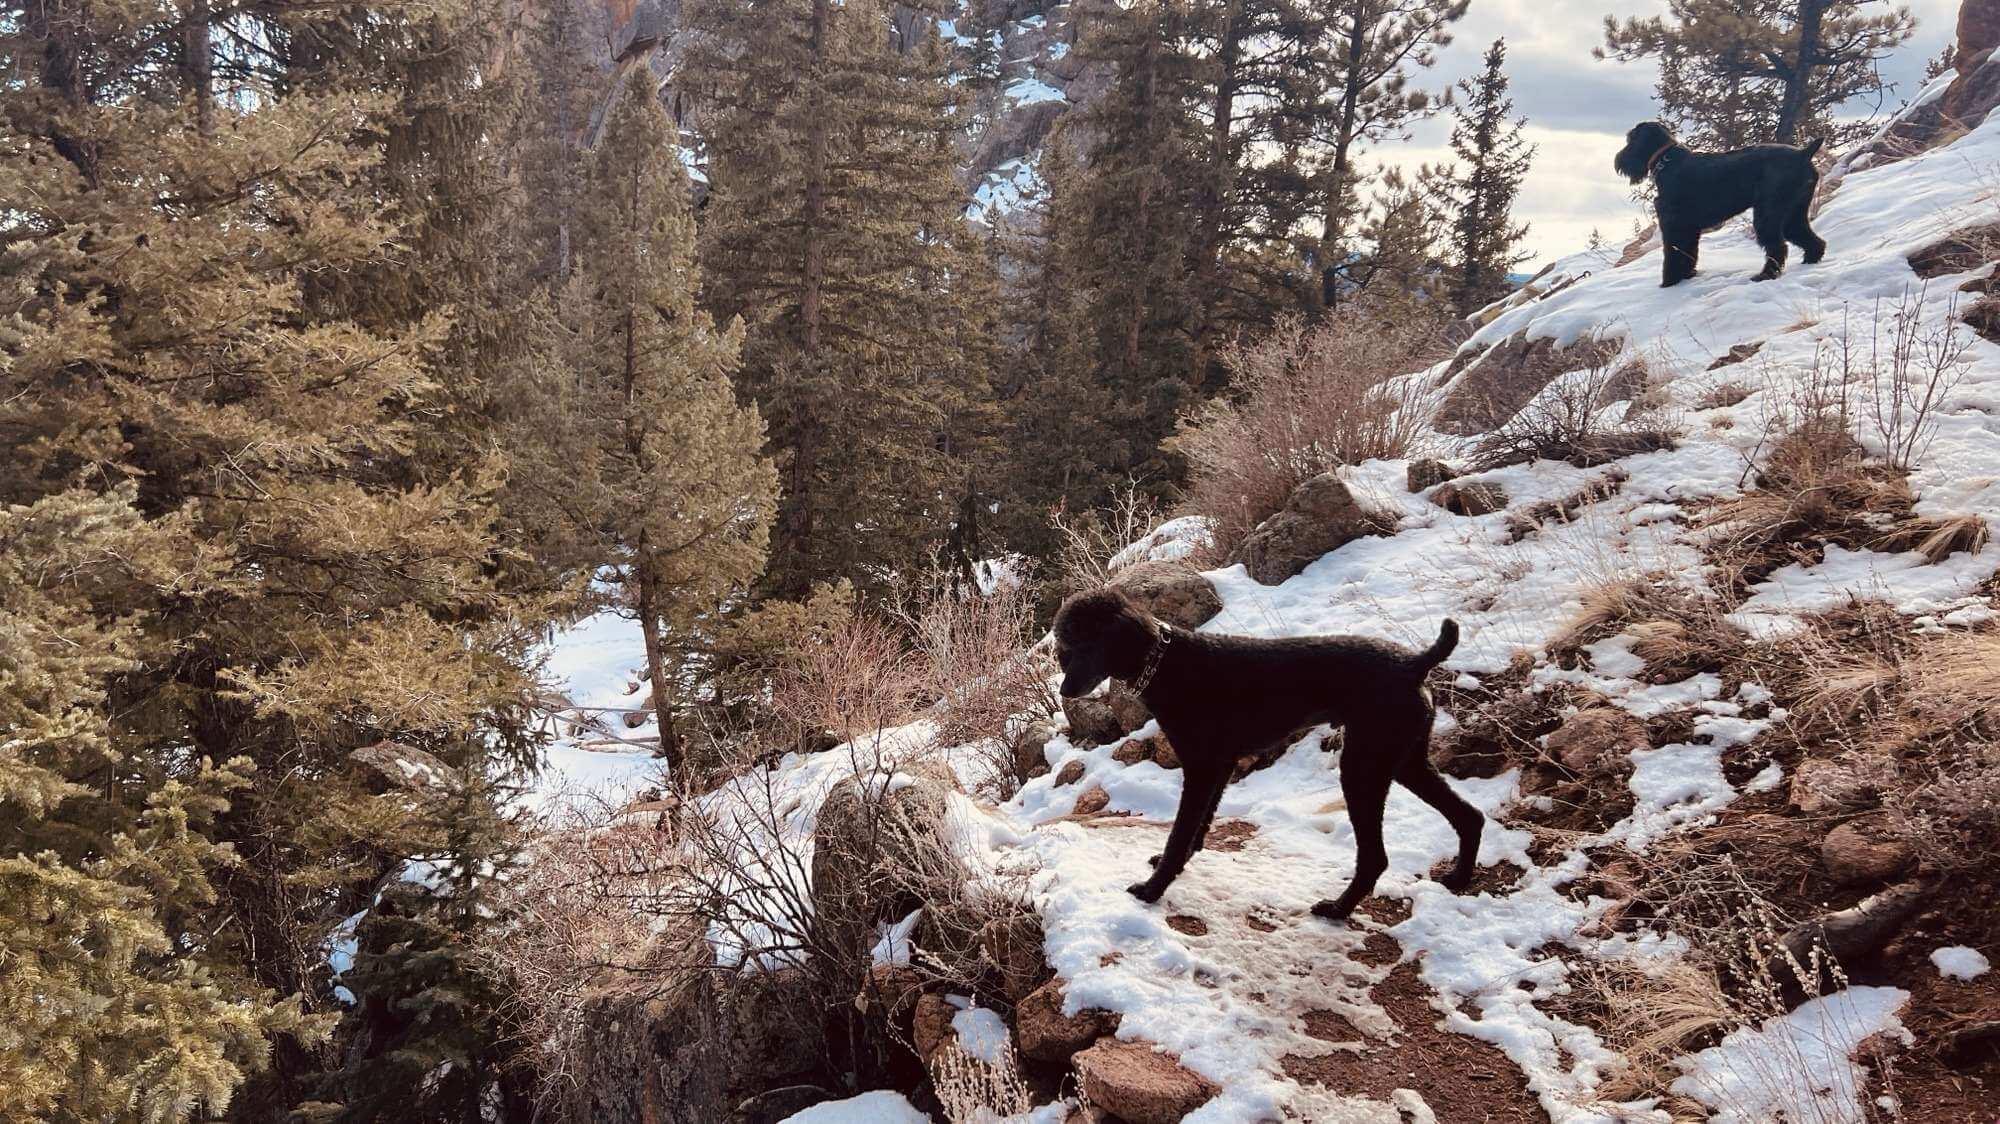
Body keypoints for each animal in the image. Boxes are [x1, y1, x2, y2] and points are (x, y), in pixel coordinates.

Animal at [1056, 588, 1480, 920]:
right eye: (1064, 650)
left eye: (1083, 646)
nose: (1064, 690)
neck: (1166, 664)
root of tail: (1415, 663)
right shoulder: (1220, 766)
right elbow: (1198, 828)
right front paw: (1171, 866)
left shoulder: (1201, 767)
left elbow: (1179, 834)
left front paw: (1153, 888)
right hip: (1403, 760)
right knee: (1470, 816)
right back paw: (1459, 878)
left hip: (1364, 766)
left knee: (1376, 857)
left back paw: (1337, 909)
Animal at [1616, 117, 1824, 284]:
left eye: (1631, 138)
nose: (1619, 160)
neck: (1667, 160)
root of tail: (1803, 153)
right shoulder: (1689, 229)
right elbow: (1688, 253)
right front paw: (1687, 276)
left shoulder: (1674, 226)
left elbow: (1673, 254)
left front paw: (1669, 282)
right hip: (1793, 213)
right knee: (1808, 238)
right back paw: (1810, 261)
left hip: (1769, 214)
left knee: (1778, 246)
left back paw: (1765, 275)